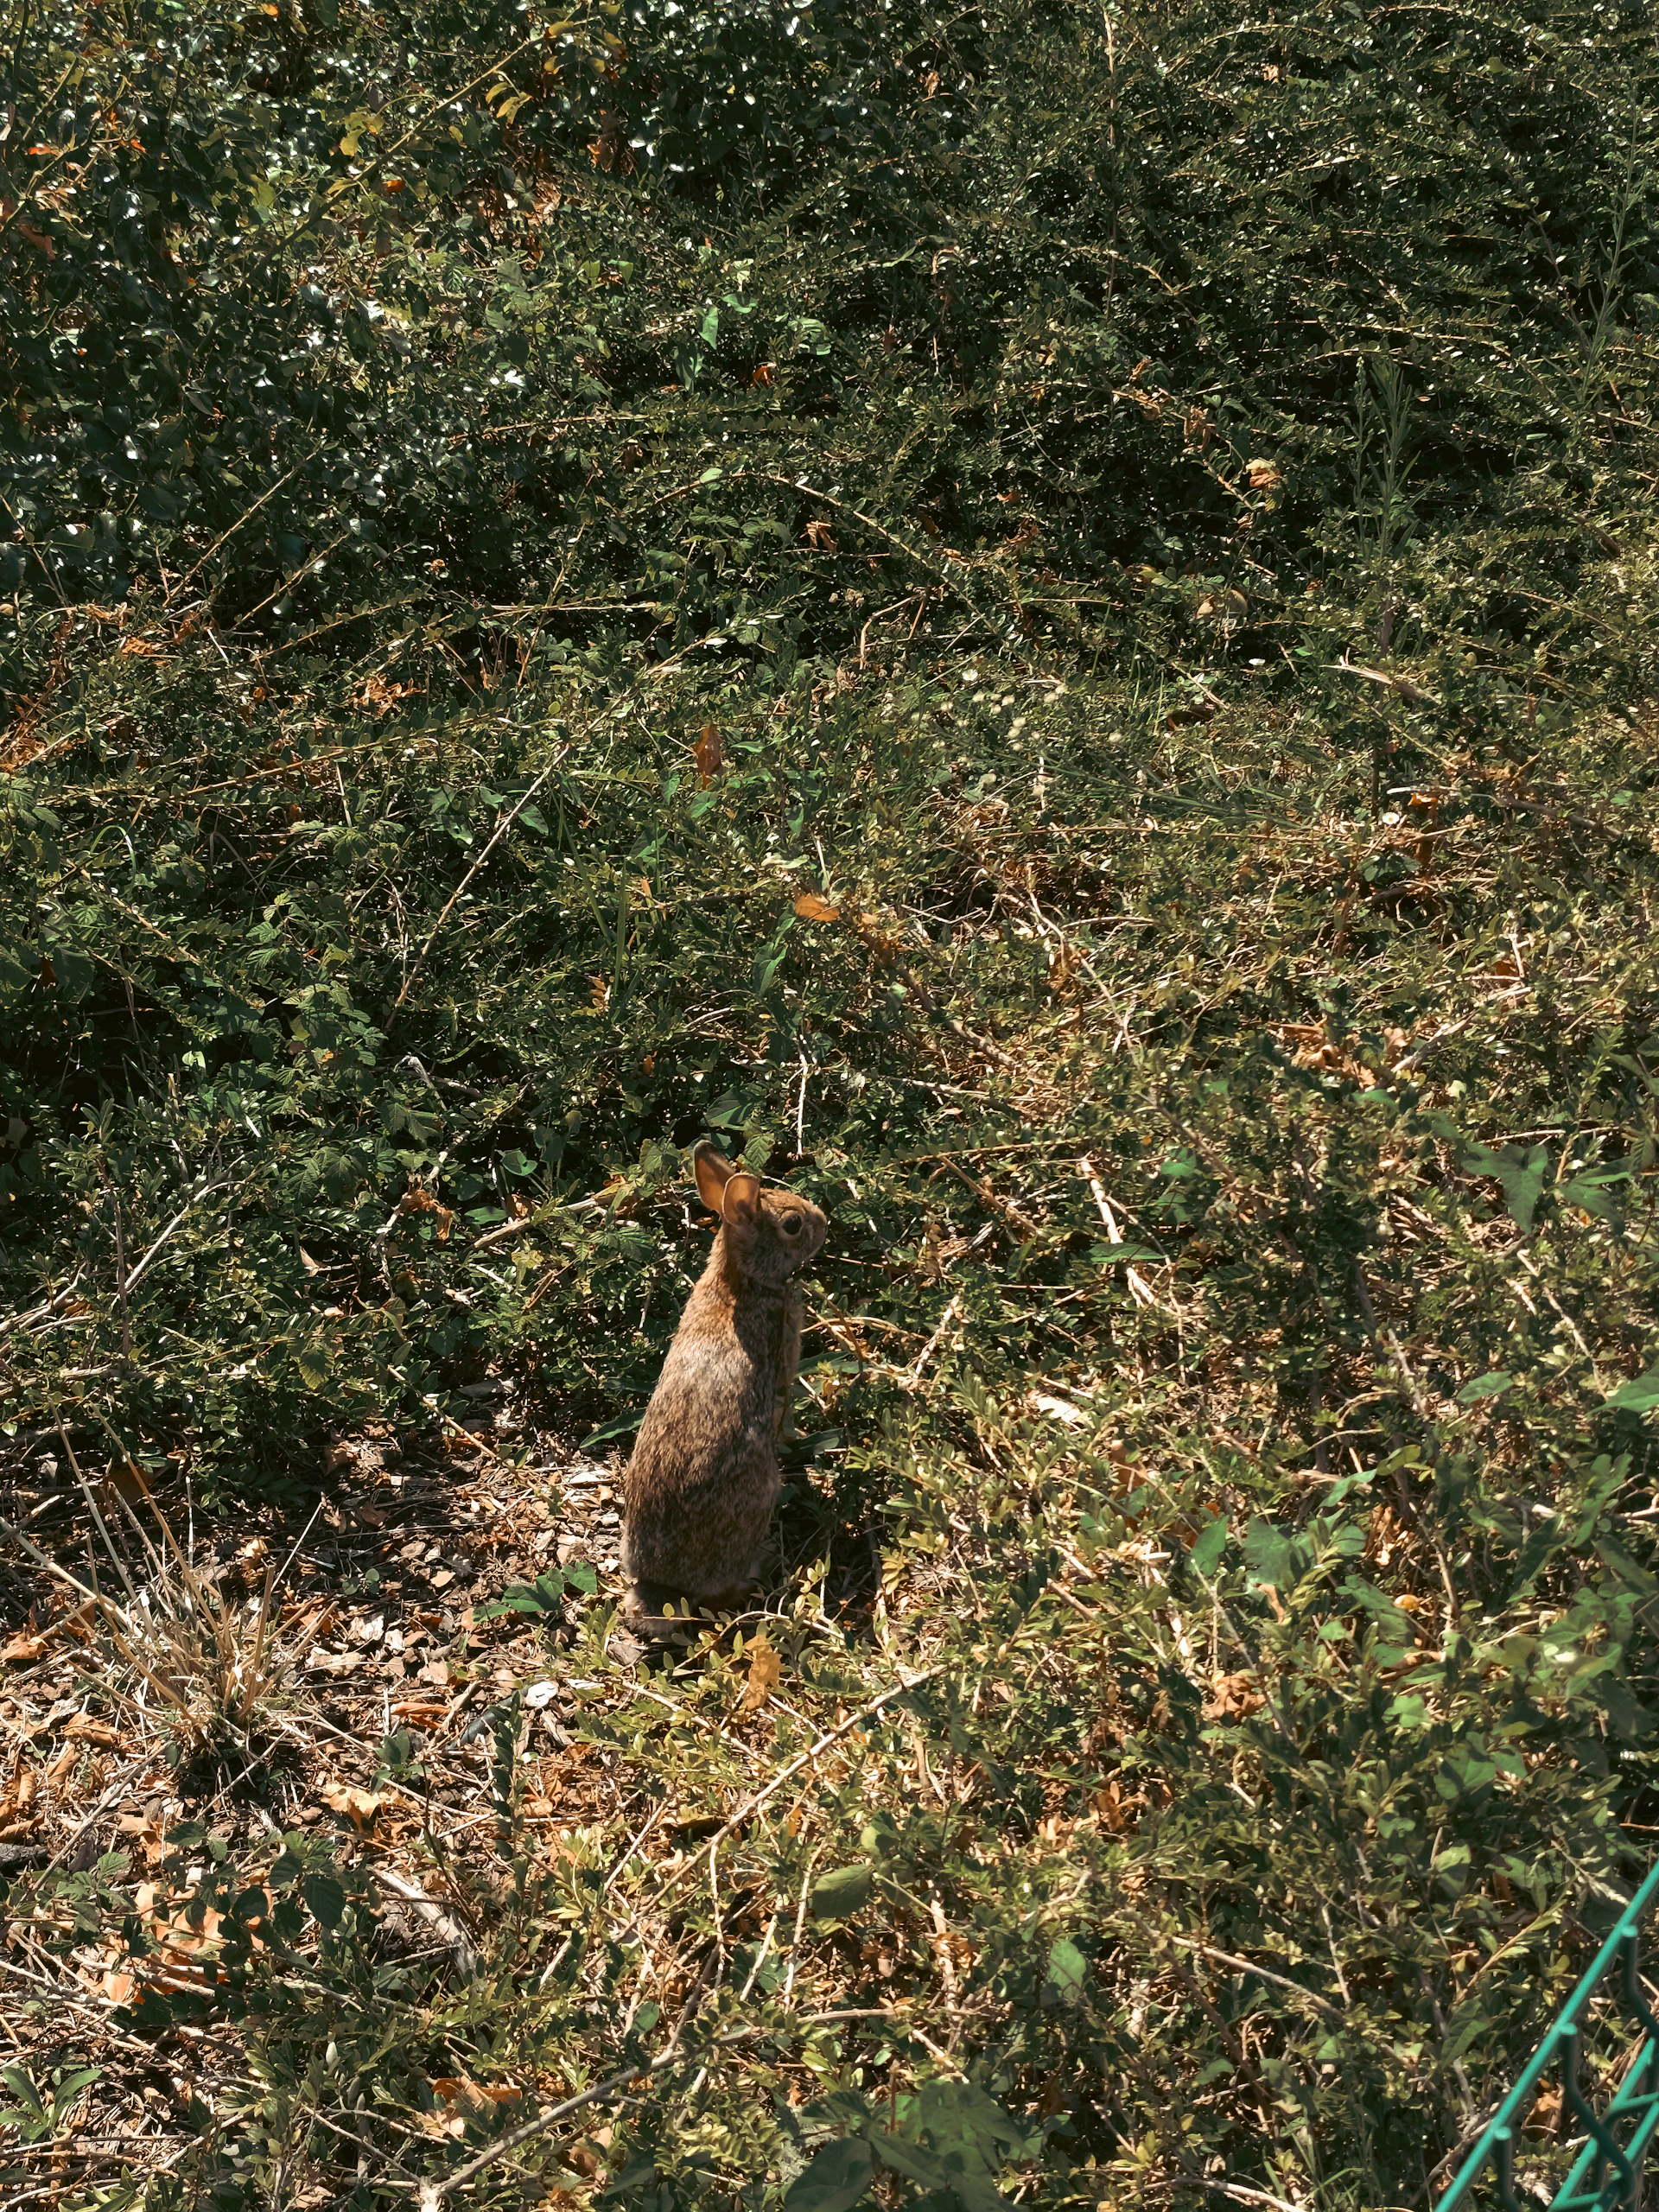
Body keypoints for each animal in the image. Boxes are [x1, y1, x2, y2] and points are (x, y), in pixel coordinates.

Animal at [620, 1140, 828, 1617]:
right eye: (793, 1224)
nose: (824, 1222)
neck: (741, 1281)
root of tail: (665, 1589)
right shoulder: (783, 1364)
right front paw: (799, 1439)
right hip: (759, 1496)